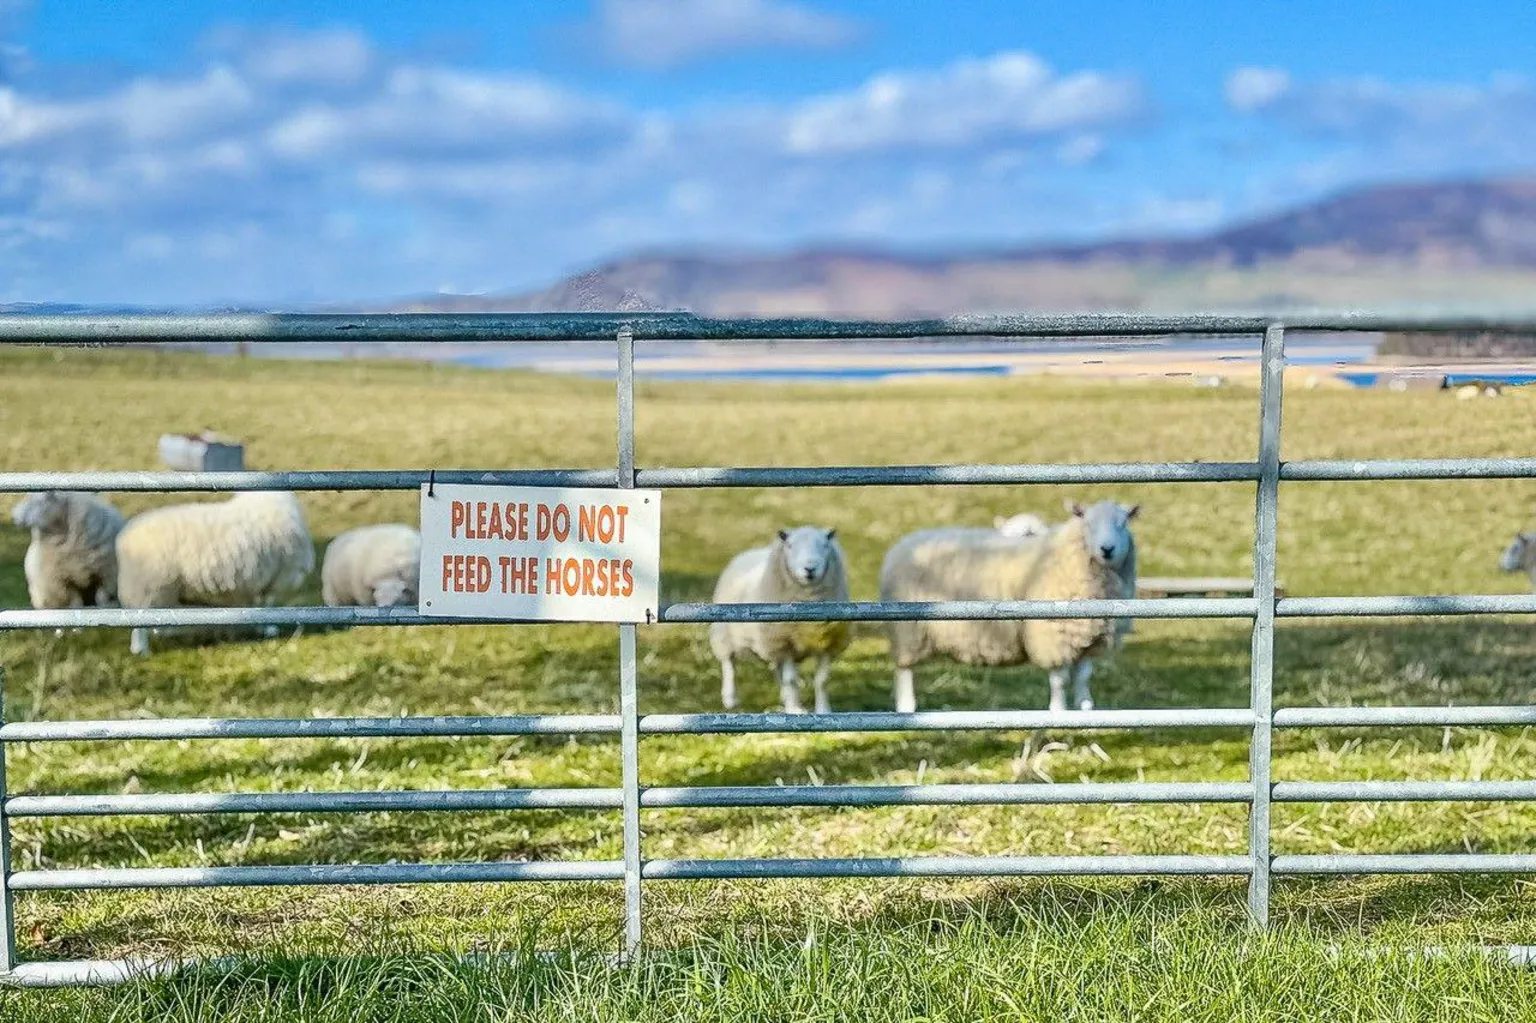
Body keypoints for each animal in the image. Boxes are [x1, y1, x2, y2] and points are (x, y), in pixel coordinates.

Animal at [115, 491, 315, 656]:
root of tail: (124, 540)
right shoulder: (278, 577)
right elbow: (268, 605)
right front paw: (269, 628)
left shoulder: (264, 579)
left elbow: (261, 604)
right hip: (150, 585)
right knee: (140, 622)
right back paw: (141, 649)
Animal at [708, 526, 851, 714]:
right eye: (790, 545)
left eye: (825, 545)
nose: (810, 569)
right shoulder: (785, 642)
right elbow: (791, 679)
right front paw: (795, 709)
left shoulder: (827, 643)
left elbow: (822, 680)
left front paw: (823, 711)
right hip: (725, 633)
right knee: (729, 663)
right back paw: (730, 698)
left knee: (777, 669)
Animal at [880, 499, 1139, 714]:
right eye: (1088, 523)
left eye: (1123, 523)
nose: (1107, 549)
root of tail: (902, 543)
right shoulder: (1053, 636)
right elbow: (1060, 680)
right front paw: (1058, 710)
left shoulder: (1087, 637)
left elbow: (1084, 676)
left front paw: (1085, 708)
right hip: (907, 630)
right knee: (904, 671)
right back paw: (906, 707)